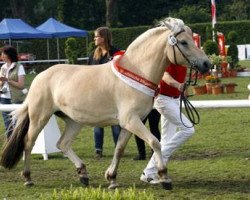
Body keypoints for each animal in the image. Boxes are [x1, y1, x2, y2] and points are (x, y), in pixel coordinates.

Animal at [0, 17, 211, 189]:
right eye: (183, 42)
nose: (207, 64)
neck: (137, 72)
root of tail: (40, 76)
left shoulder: (129, 124)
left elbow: (119, 149)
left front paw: (112, 178)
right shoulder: (131, 120)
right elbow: (155, 142)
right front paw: (164, 177)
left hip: (74, 121)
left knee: (63, 144)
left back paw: (83, 174)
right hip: (40, 118)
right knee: (28, 142)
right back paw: (28, 178)